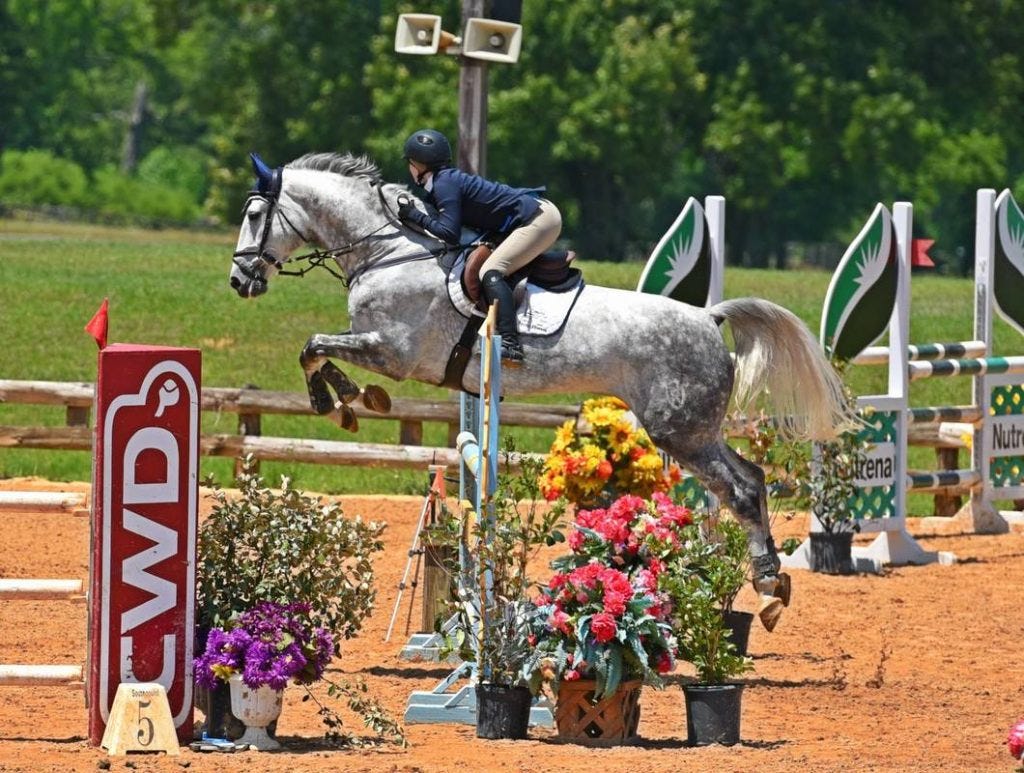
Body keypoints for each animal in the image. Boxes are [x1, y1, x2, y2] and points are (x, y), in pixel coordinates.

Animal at [229, 151, 853, 631]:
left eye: (255, 213)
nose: (239, 281)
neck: (388, 251)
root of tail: (709, 318)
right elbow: (318, 348)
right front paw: (351, 401)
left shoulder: (392, 351)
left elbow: (314, 345)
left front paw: (339, 403)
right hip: (697, 429)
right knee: (751, 478)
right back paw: (769, 583)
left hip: (679, 431)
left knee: (740, 491)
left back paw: (766, 586)